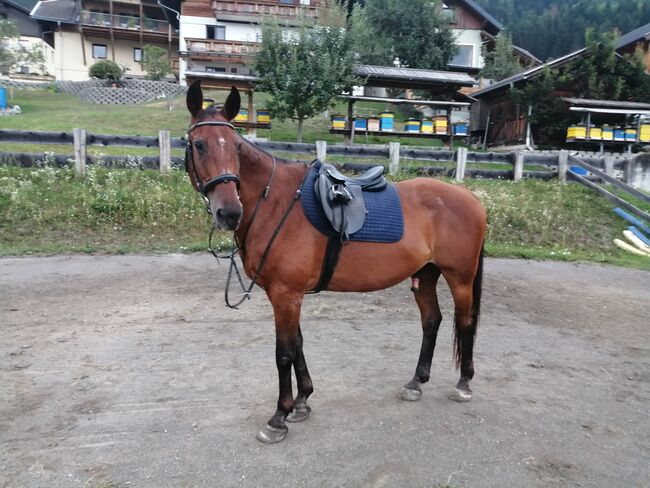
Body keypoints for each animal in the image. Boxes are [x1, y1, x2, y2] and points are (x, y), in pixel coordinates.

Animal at [182, 82, 486, 444]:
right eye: (198, 144)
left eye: (235, 147)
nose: (229, 212)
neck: (275, 201)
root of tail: (473, 199)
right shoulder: (285, 294)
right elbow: (297, 344)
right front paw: (302, 402)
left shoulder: (286, 294)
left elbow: (284, 353)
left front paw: (279, 416)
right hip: (425, 274)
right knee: (432, 321)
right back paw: (416, 383)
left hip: (460, 278)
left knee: (465, 322)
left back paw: (464, 384)